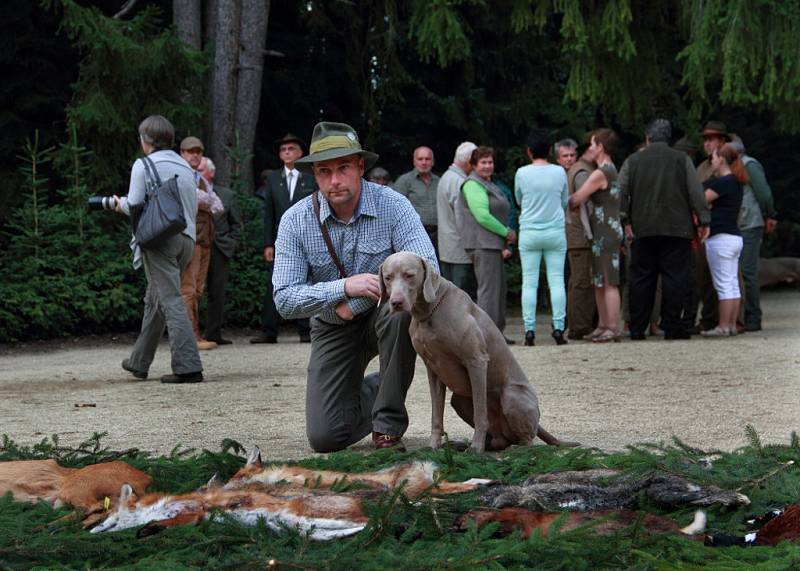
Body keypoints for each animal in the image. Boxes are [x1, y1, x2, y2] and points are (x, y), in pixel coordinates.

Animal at [376, 252, 568, 454]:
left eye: (409, 275)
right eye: (388, 278)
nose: (396, 302)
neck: (428, 313)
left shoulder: (476, 361)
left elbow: (480, 412)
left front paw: (476, 447)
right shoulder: (433, 369)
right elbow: (436, 415)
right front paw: (433, 447)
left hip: (512, 396)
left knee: (527, 440)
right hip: (460, 400)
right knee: (500, 440)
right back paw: (464, 445)